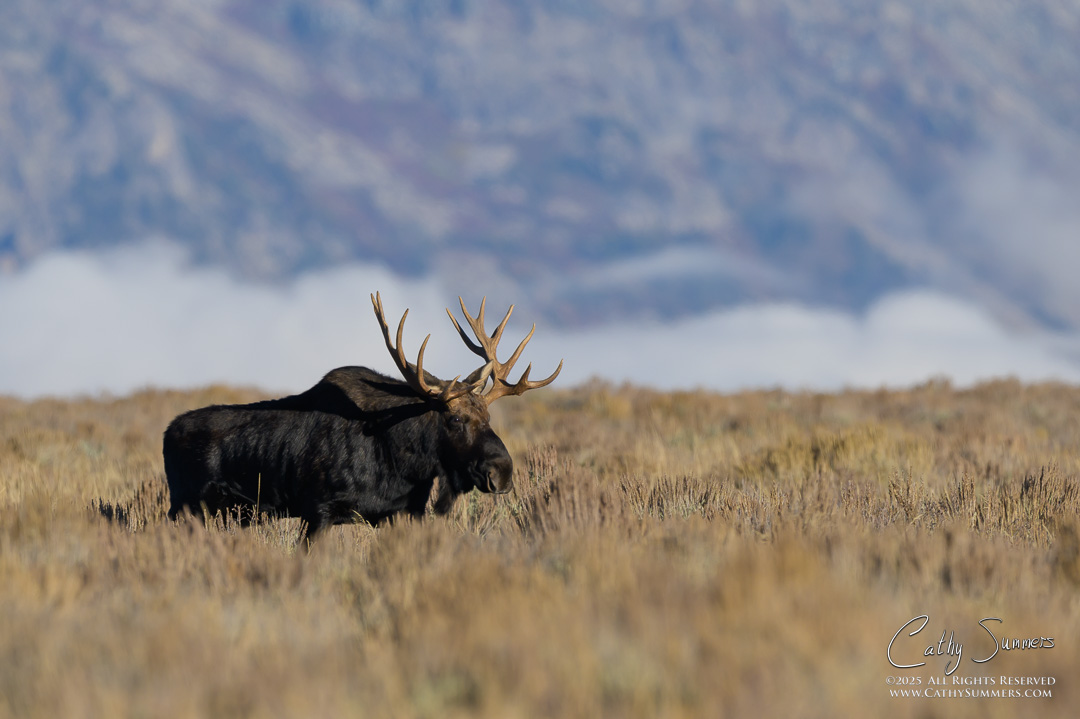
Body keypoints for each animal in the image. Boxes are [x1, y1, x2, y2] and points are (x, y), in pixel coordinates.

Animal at [162, 292, 562, 540]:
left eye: (489, 417)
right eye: (455, 420)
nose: (502, 471)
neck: (405, 465)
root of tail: (167, 432)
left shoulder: (400, 514)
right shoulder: (319, 510)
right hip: (186, 507)